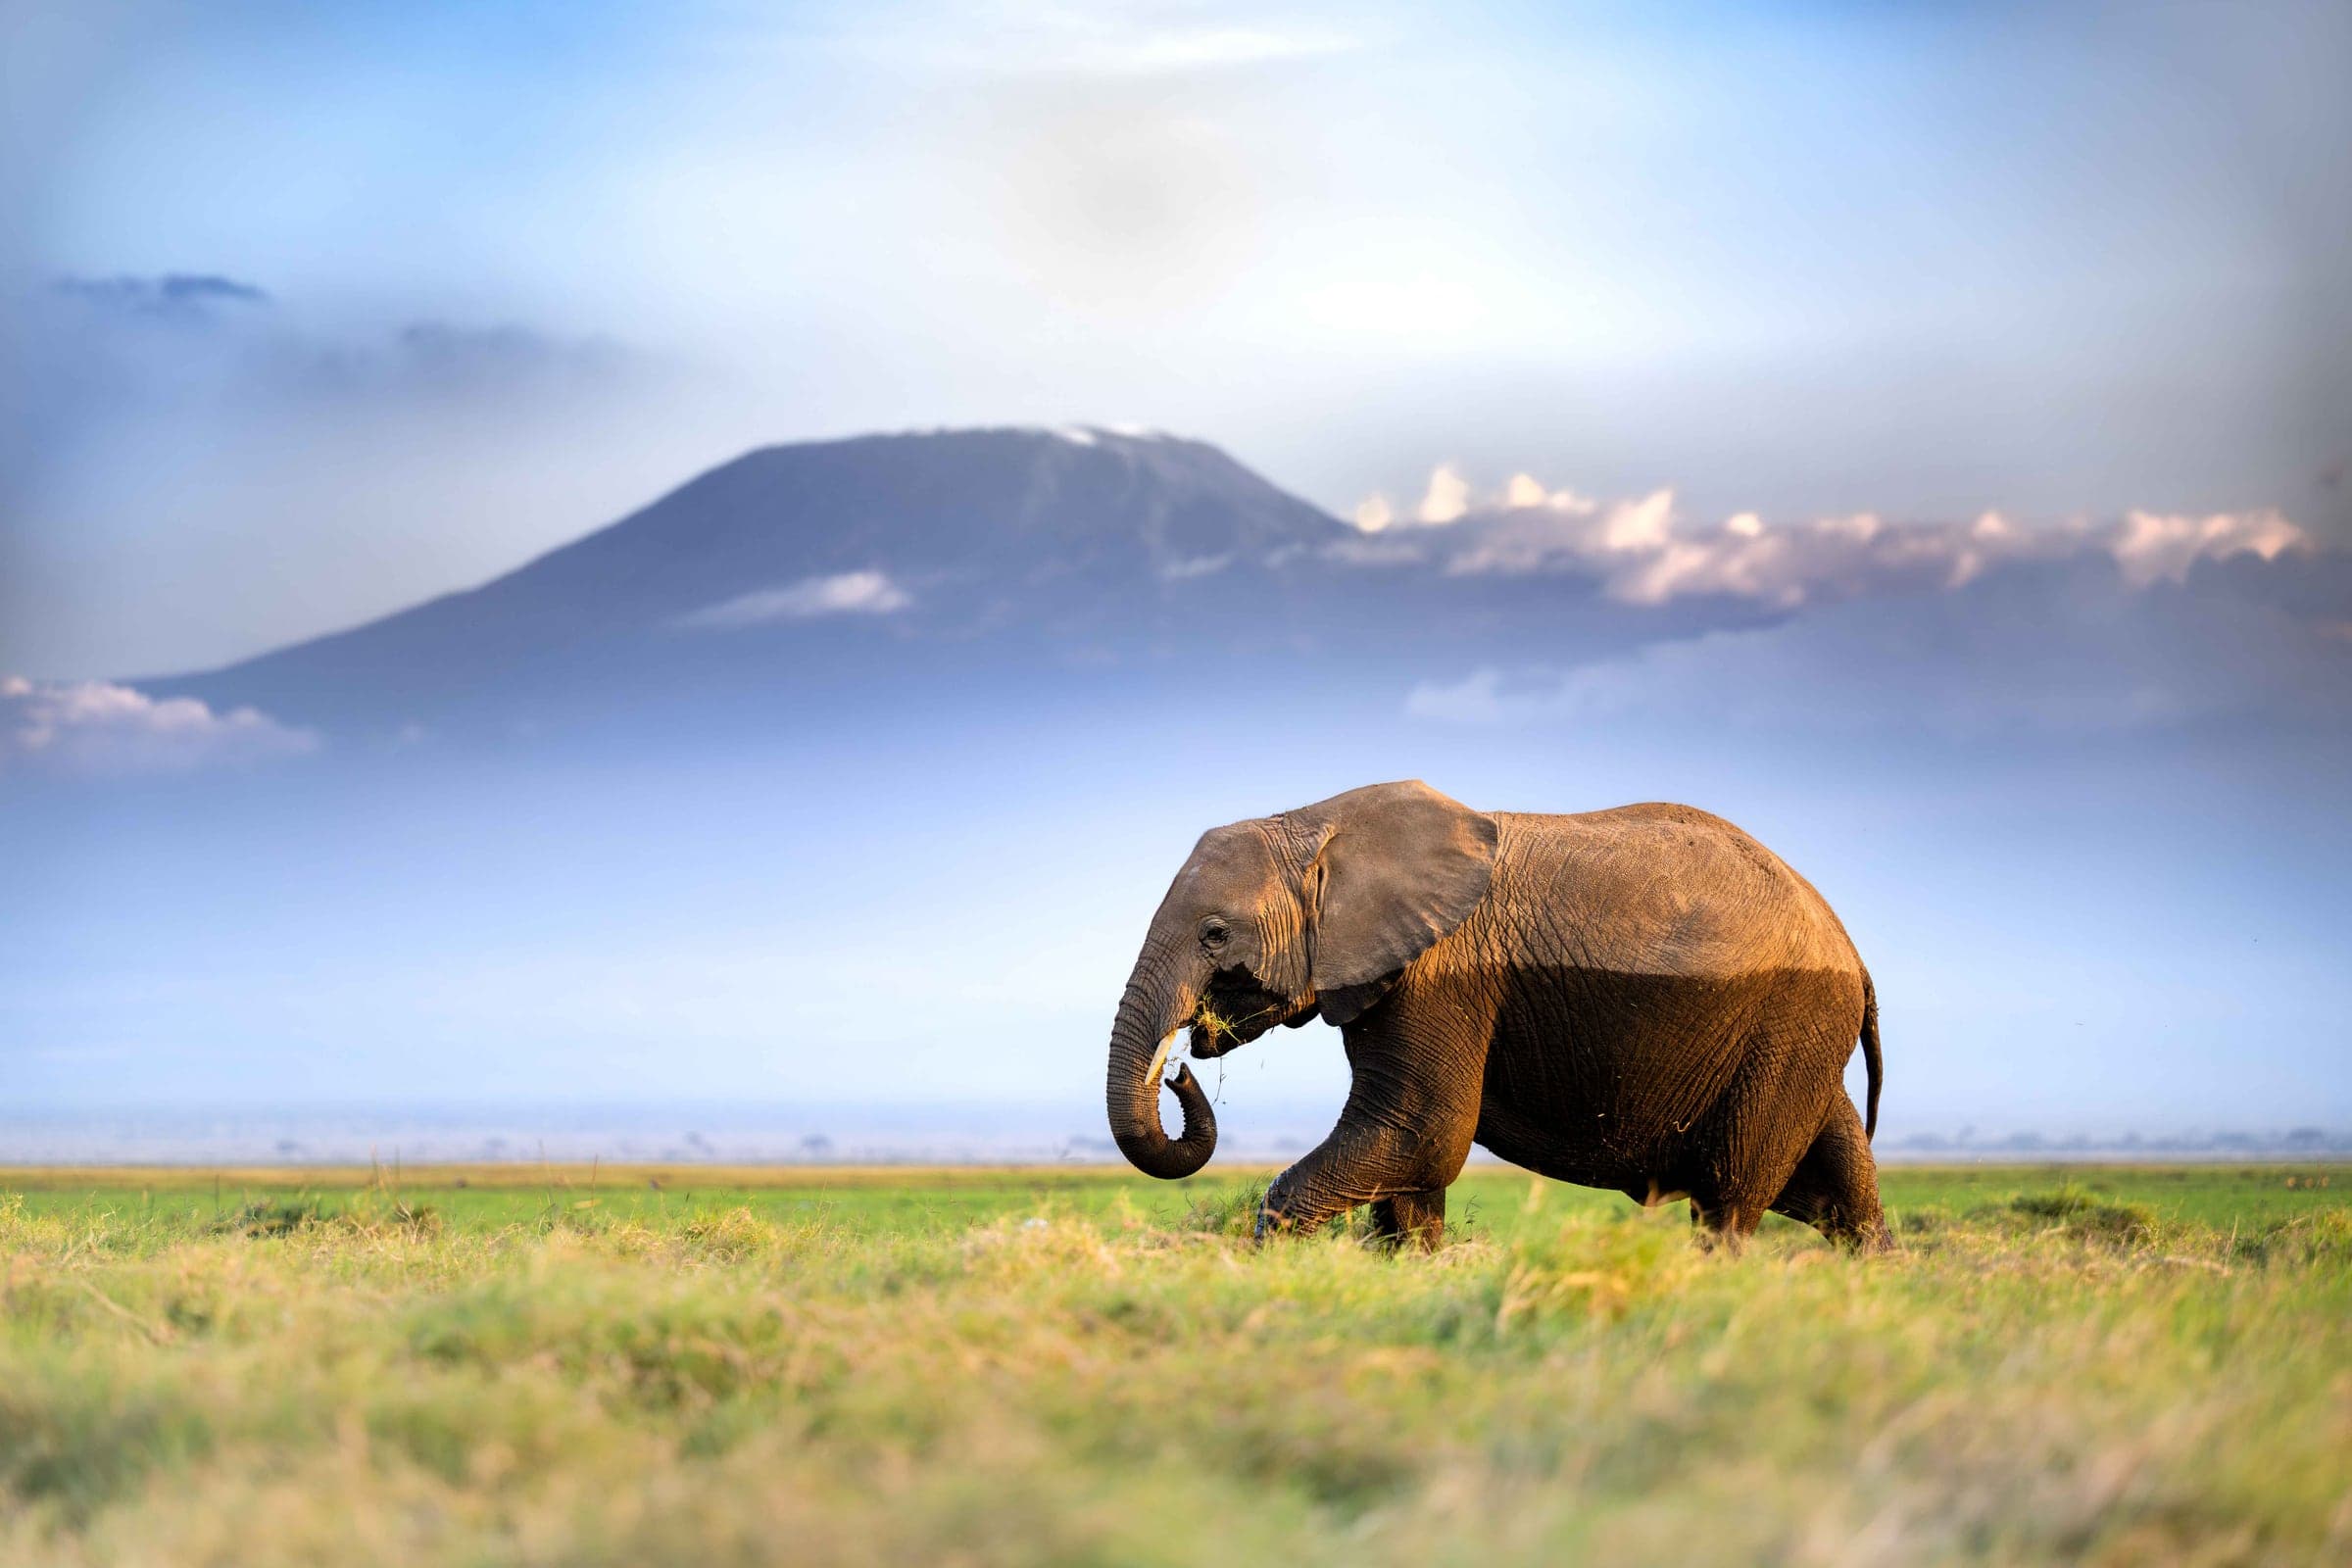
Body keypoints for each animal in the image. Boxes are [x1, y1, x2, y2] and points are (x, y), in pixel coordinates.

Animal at [1104, 780, 1887, 1252]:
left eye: (1214, 934)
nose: (1177, 1073)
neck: (1318, 821)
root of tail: (1851, 948)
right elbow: (1410, 1158)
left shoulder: (1443, 974)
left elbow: (1423, 1131)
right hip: (1801, 1034)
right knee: (1841, 1176)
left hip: (1790, 1023)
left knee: (1729, 1195)